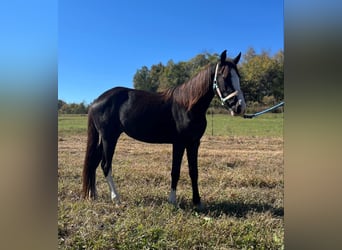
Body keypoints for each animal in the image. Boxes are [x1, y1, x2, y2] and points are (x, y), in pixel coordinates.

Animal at [81, 50, 244, 207]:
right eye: (225, 76)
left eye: (239, 77)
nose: (240, 107)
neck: (187, 105)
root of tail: (96, 101)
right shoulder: (179, 143)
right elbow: (175, 171)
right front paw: (172, 200)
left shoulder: (194, 143)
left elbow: (193, 171)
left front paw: (197, 201)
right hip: (109, 138)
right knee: (105, 165)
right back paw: (116, 198)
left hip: (104, 138)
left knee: (93, 162)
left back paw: (92, 195)